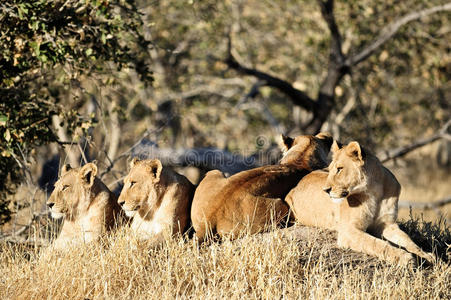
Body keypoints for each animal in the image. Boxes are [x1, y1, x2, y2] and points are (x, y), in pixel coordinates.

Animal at [286, 139, 438, 266]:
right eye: (330, 169)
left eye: (339, 169)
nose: (325, 190)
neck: (375, 192)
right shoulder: (348, 230)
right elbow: (377, 243)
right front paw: (404, 257)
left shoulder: (387, 224)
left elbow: (408, 240)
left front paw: (426, 255)